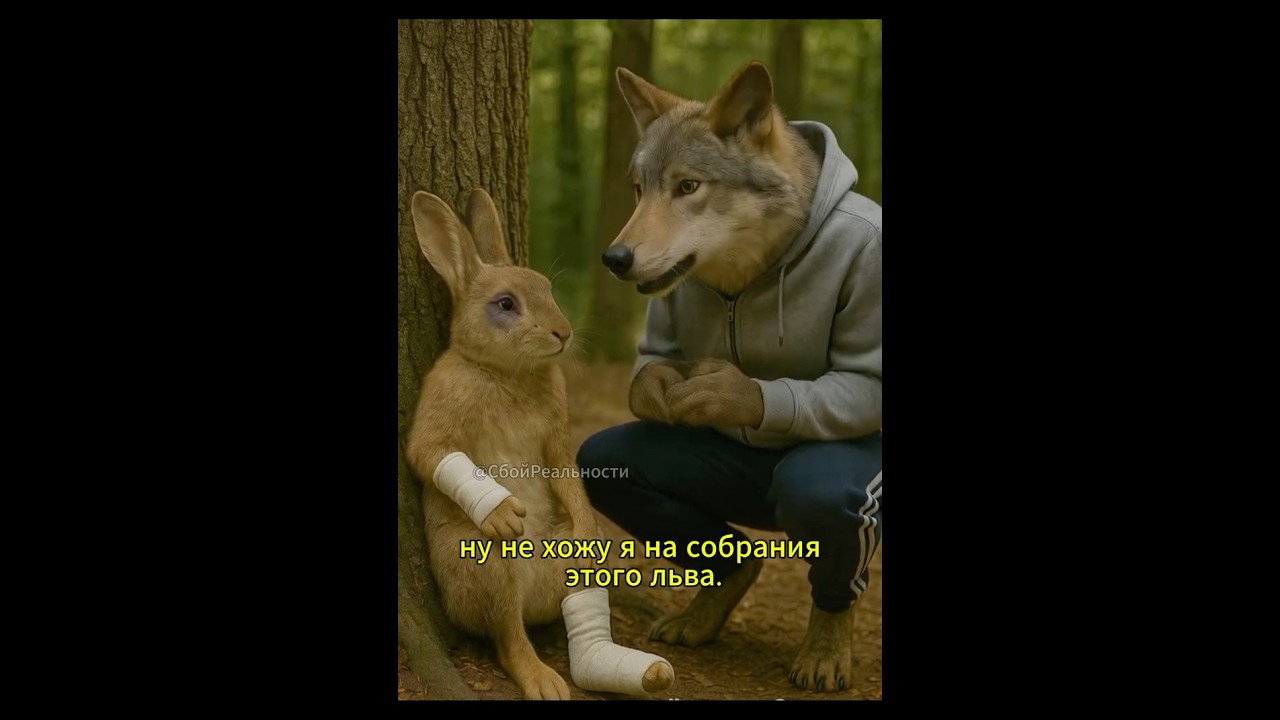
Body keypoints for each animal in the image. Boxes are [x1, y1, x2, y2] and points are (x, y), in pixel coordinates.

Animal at [577, 61, 882, 693]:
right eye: (640, 189)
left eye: (688, 187)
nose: (614, 259)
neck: (751, 278)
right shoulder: (660, 334)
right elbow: (652, 365)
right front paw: (660, 392)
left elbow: (855, 378)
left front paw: (732, 394)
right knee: (739, 556)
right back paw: (705, 611)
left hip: (834, 494)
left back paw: (824, 651)